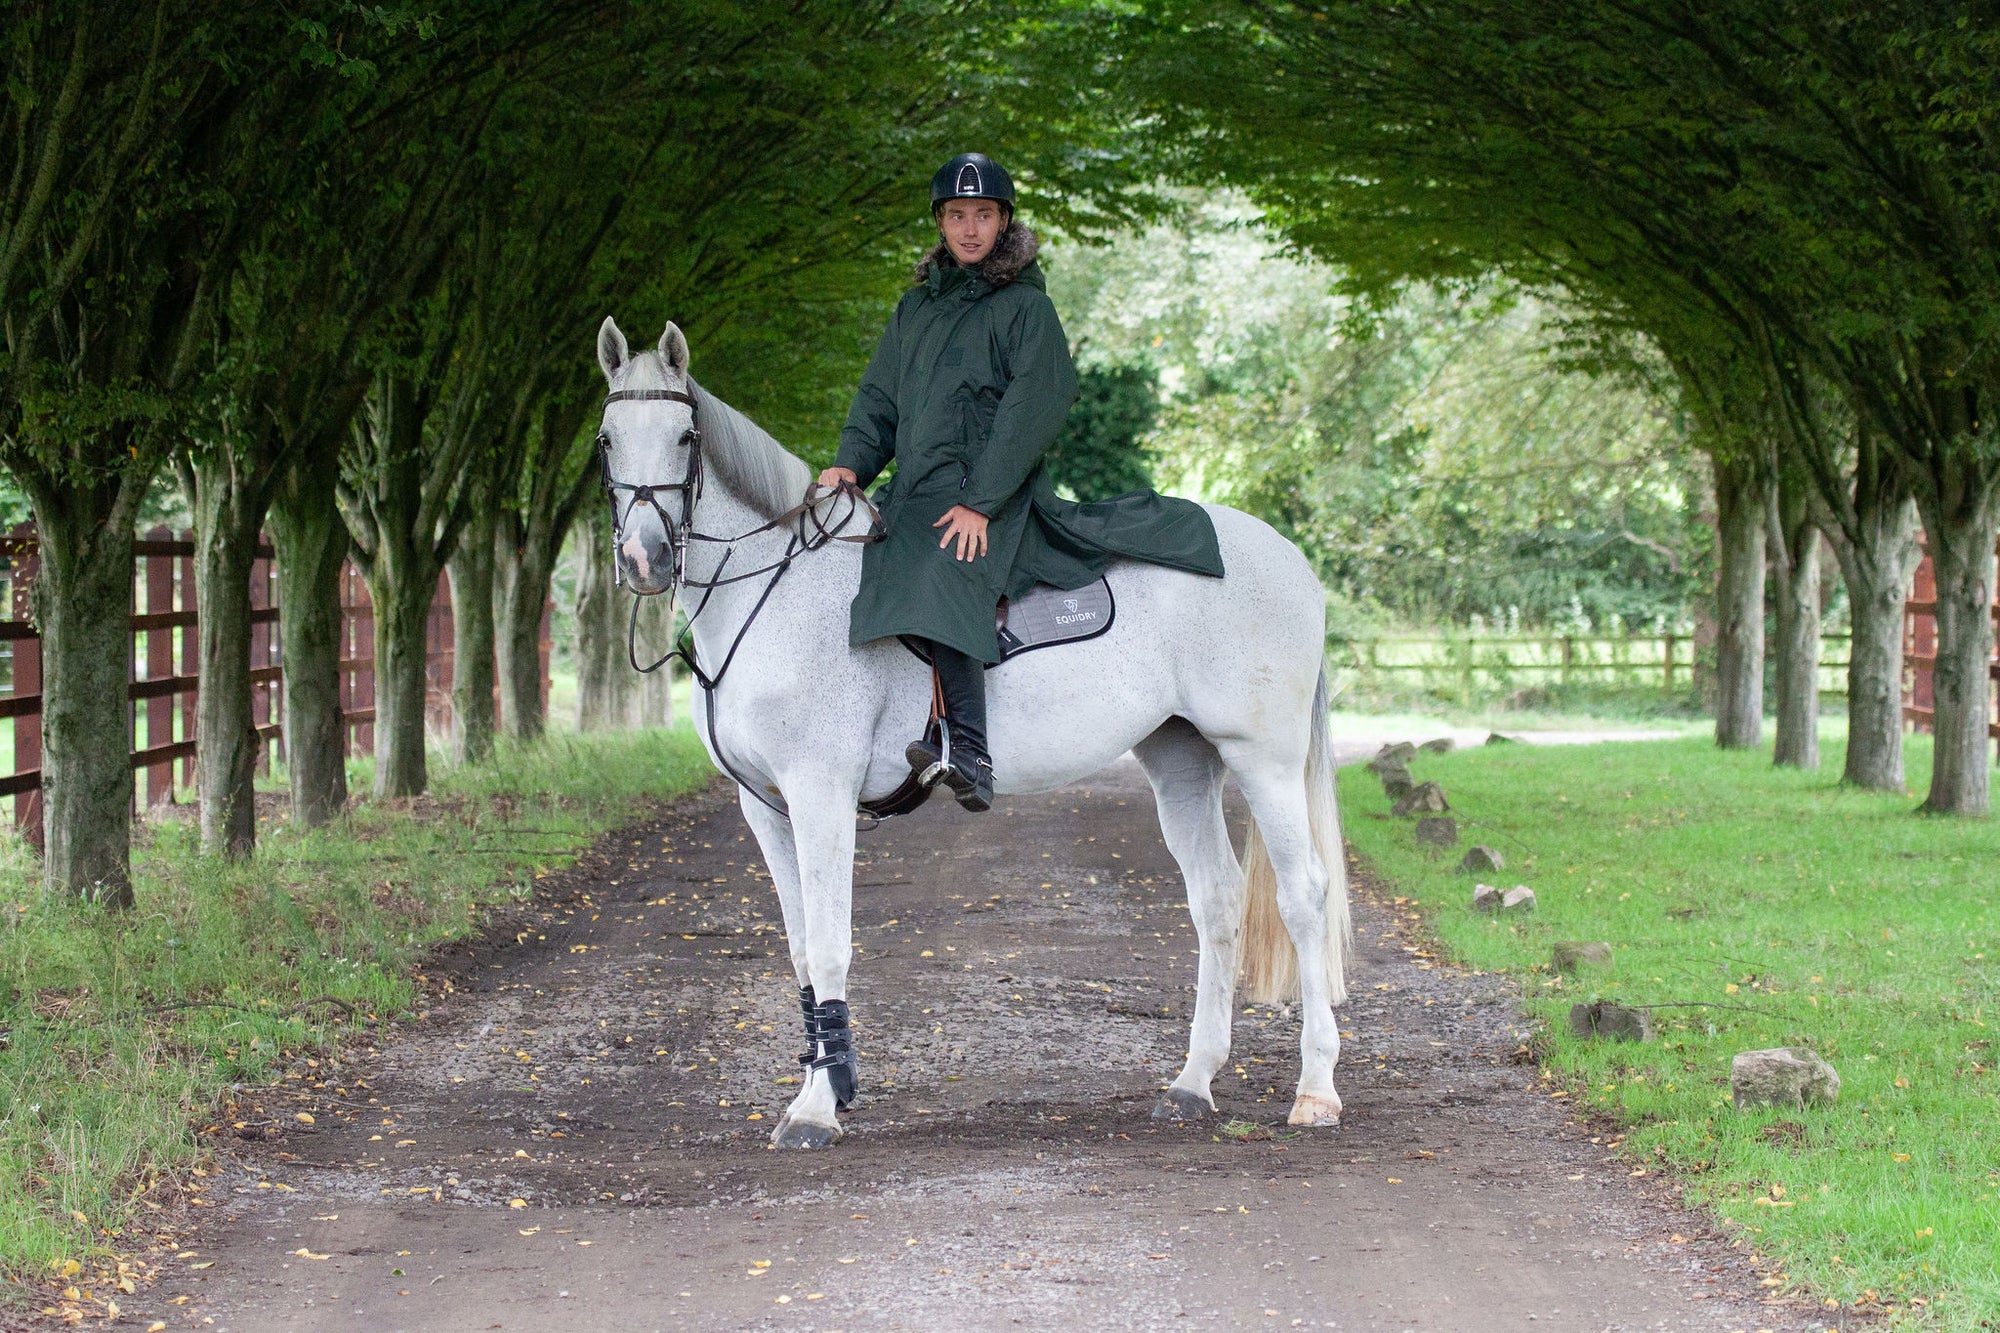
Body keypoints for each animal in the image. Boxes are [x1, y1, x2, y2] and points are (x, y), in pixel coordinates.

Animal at [588, 320, 1344, 1144]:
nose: (642, 558)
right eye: (606, 440)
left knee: (1304, 897)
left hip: (1264, 761)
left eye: (685, 436)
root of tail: (1290, 560)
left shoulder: (820, 795)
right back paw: (1192, 1081)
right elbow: (800, 953)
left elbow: (829, 944)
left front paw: (816, 1108)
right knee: (1216, 900)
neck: (777, 588)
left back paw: (1316, 1088)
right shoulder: (765, 806)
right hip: (1182, 760)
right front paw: (833, 1080)